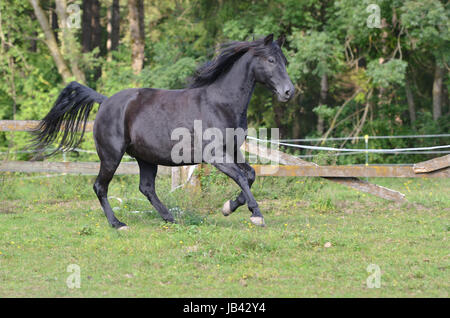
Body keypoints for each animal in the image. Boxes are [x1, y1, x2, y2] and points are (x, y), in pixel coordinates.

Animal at [30, 34, 292, 229]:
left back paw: (170, 218)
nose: (289, 91)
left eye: (285, 61)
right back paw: (118, 224)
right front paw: (256, 214)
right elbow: (241, 177)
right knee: (100, 187)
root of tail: (105, 101)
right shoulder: (215, 155)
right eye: (270, 60)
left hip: (146, 158)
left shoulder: (233, 151)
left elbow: (250, 175)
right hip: (111, 156)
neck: (220, 103)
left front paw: (228, 207)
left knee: (146, 188)